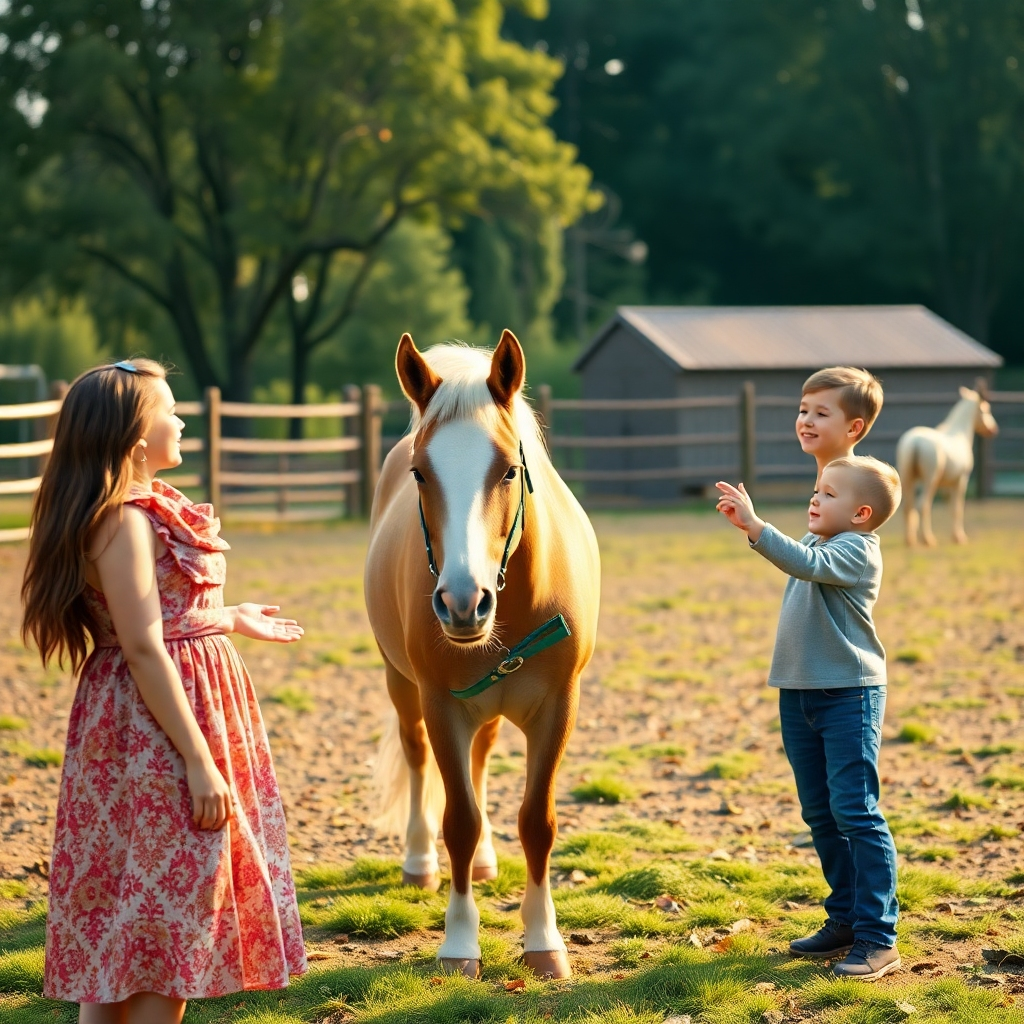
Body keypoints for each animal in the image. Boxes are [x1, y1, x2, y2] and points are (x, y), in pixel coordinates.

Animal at [364, 330, 601, 979]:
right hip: (401, 685)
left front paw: (544, 940)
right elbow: (459, 822)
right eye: (420, 474)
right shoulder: (442, 706)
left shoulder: (557, 708)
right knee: (418, 760)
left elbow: (537, 822)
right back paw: (418, 862)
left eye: (509, 470)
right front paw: (459, 944)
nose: (463, 603)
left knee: (480, 760)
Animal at [896, 385, 998, 546]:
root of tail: (915, 442)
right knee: (922, 505)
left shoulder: (946, 485)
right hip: (929, 481)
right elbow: (957, 509)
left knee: (908, 507)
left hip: (908, 479)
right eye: (986, 410)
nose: (993, 429)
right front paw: (959, 537)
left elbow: (949, 507)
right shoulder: (960, 480)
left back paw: (910, 540)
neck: (959, 433)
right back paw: (927, 539)